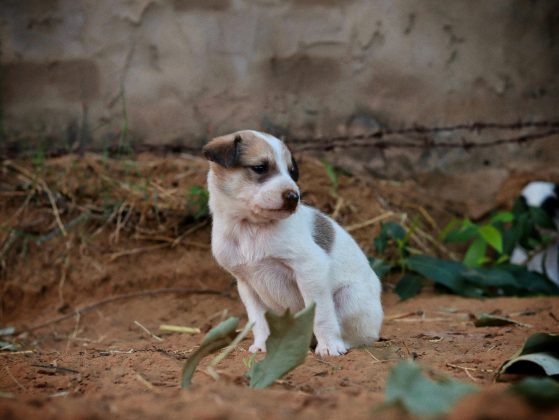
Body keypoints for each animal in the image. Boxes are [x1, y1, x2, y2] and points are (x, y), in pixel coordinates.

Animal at [205, 130, 384, 356]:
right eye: (260, 167)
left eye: (291, 172)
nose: (293, 197)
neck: (251, 228)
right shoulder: (246, 283)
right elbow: (258, 320)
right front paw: (263, 345)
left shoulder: (310, 270)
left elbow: (321, 316)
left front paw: (329, 346)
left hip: (348, 297)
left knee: (359, 337)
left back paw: (338, 344)